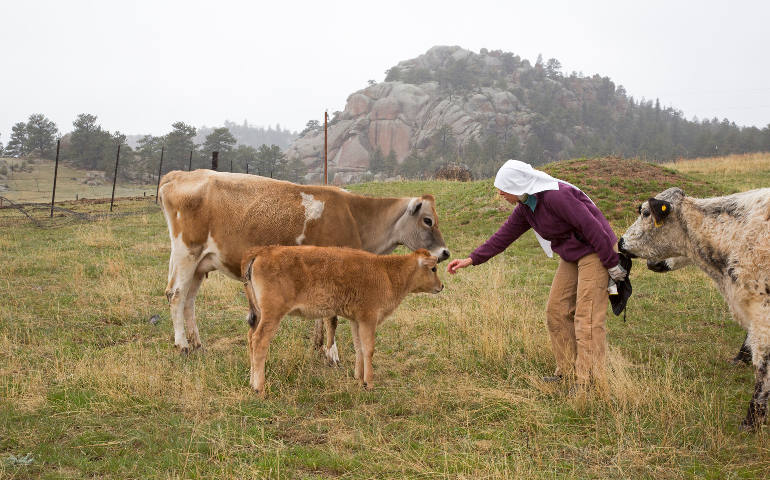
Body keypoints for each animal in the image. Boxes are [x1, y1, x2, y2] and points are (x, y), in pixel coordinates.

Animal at [156, 169, 448, 356]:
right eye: (428, 220)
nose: (444, 253)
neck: (355, 216)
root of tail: (180, 174)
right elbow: (332, 317)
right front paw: (332, 354)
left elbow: (323, 313)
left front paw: (318, 346)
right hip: (187, 252)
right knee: (176, 294)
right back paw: (182, 345)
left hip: (200, 262)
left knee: (189, 300)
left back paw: (197, 344)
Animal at [240, 246, 444, 392]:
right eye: (433, 268)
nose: (441, 286)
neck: (387, 272)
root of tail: (260, 253)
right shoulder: (369, 318)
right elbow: (369, 349)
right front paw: (369, 383)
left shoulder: (356, 320)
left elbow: (359, 347)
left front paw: (358, 378)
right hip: (272, 315)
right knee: (259, 341)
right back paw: (260, 388)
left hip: (259, 314)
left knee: (250, 338)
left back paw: (251, 382)